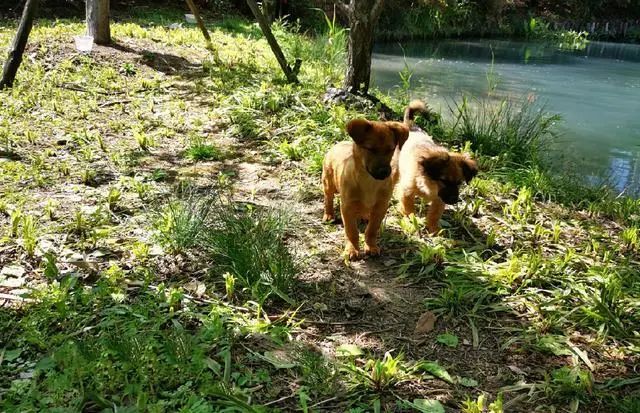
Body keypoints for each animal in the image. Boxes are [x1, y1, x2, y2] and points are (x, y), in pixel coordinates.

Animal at [322, 118, 408, 258]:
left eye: (391, 149)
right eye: (370, 149)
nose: (384, 172)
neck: (369, 182)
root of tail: (339, 144)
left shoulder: (381, 206)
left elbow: (372, 229)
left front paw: (371, 246)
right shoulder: (347, 207)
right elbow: (351, 231)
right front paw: (352, 249)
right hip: (329, 183)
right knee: (328, 198)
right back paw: (329, 215)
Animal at [396, 101, 480, 233]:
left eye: (459, 182)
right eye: (444, 181)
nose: (454, 200)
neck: (429, 184)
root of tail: (412, 128)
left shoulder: (439, 199)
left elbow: (434, 214)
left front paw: (434, 229)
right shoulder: (406, 191)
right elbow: (408, 209)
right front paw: (411, 221)